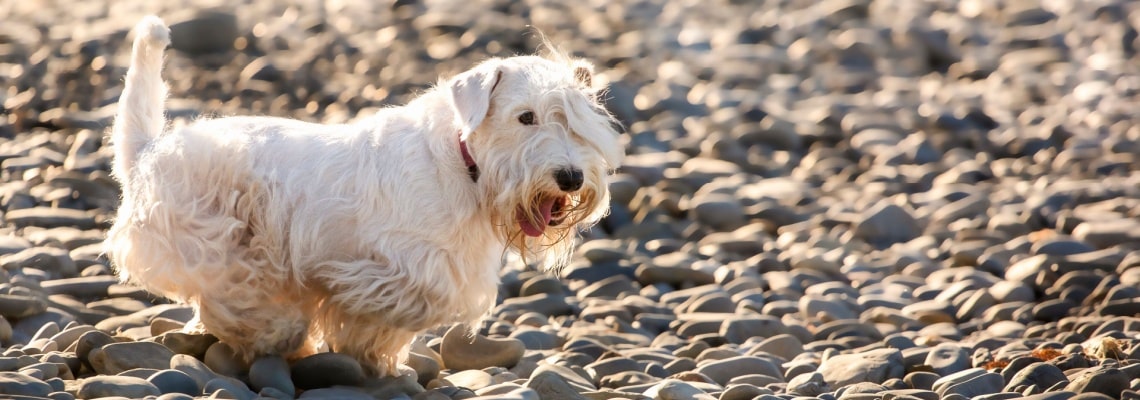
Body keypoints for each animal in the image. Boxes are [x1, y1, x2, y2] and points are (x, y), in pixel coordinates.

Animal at [104, 16, 624, 376]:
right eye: (525, 117)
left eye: (582, 122)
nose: (571, 177)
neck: (466, 166)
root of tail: (147, 151)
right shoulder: (401, 266)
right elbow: (382, 299)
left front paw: (374, 354)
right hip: (216, 242)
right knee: (233, 293)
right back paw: (275, 332)